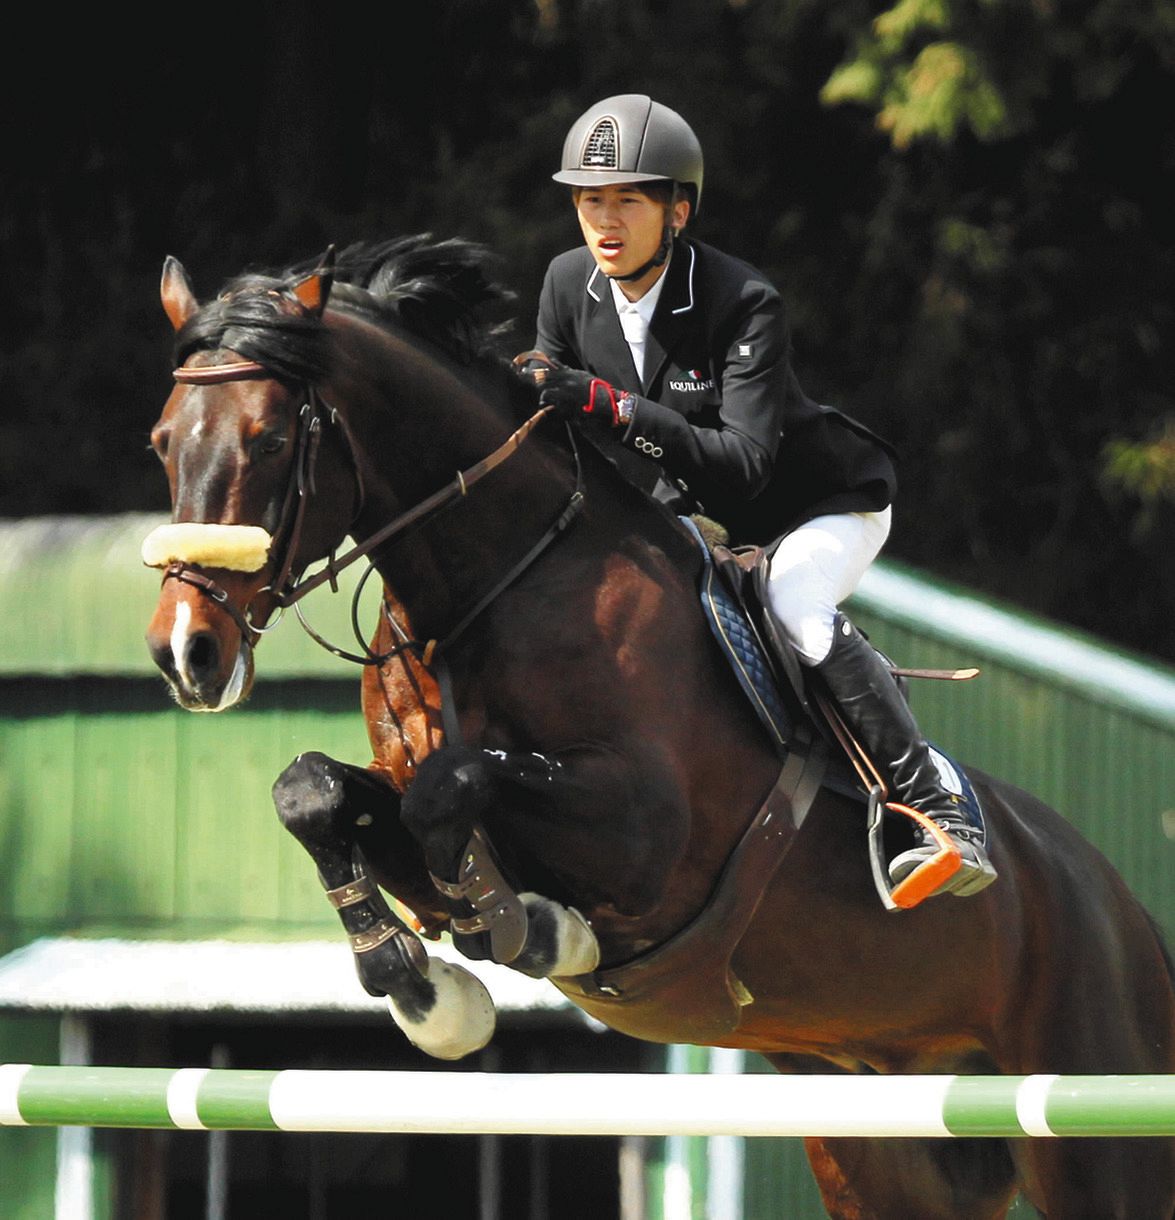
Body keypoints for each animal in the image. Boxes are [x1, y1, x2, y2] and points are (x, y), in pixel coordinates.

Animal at [142, 233, 1171, 1215]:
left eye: (270, 440)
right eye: (161, 442)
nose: (185, 653)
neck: (498, 584)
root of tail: (1127, 915)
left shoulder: (647, 835)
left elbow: (456, 789)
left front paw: (529, 932)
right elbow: (315, 792)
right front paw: (425, 984)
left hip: (1096, 1131)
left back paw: (941, 837)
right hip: (887, 1150)